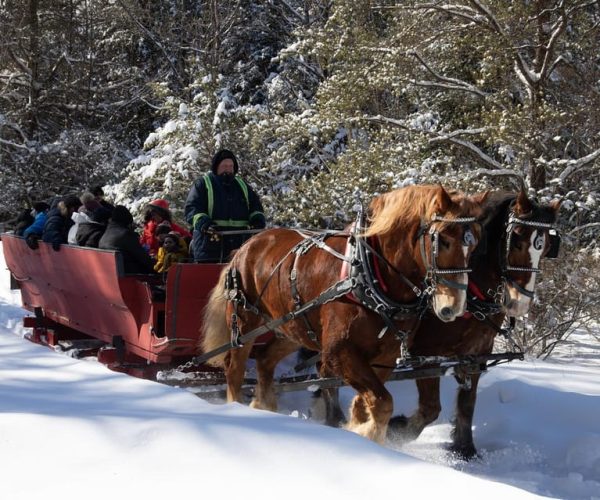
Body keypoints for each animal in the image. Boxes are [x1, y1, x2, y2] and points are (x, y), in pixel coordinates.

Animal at [200, 186, 482, 444]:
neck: (370, 273)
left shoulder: (385, 357)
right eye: (442, 240)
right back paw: (238, 410)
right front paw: (366, 435)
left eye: (474, 245)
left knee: (265, 360)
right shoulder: (339, 352)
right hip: (245, 323)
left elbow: (368, 404)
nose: (453, 307)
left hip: (293, 328)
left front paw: (358, 428)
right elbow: (382, 403)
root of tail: (246, 245)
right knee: (235, 368)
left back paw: (263, 408)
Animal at [390, 188, 564, 458]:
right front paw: (396, 429)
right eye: (516, 241)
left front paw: (465, 449)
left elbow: (467, 404)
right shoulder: (425, 353)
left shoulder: (476, 353)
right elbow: (430, 408)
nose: (519, 304)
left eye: (546, 248)